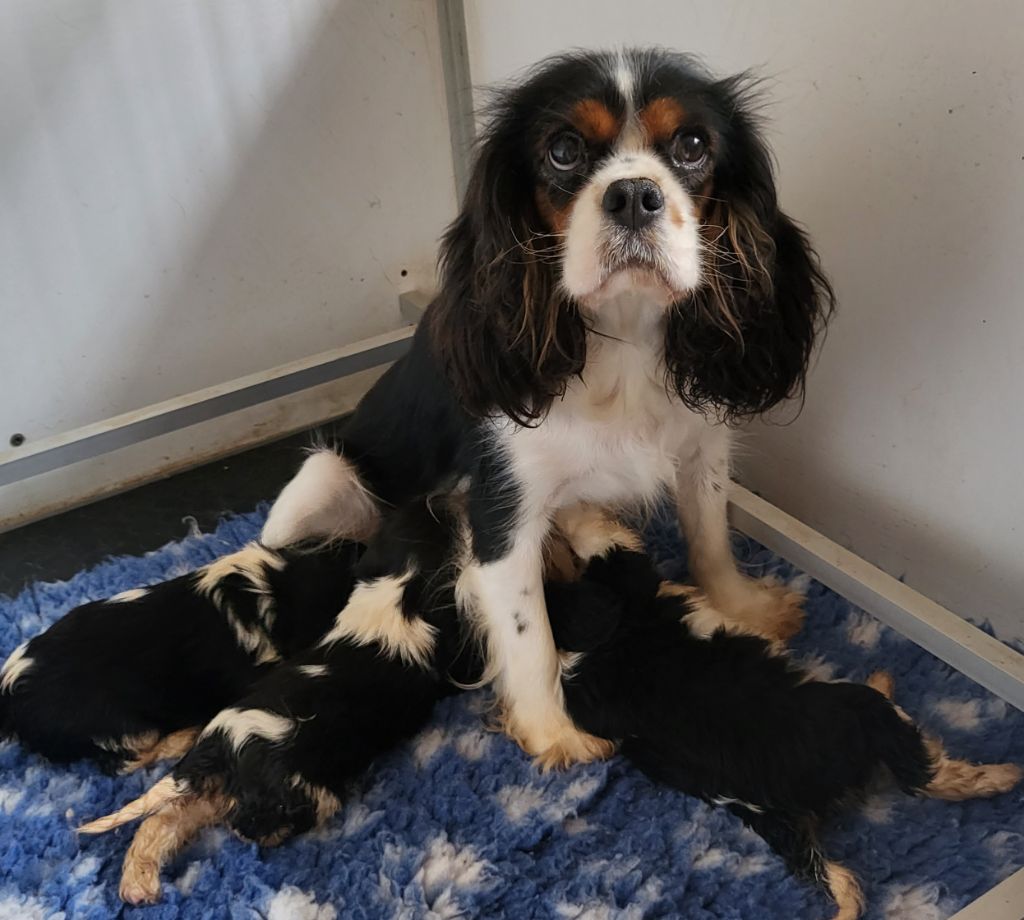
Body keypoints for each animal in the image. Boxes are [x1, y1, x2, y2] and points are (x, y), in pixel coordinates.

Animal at [253, 50, 831, 766]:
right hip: (315, 488)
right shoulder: (502, 506)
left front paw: (741, 605)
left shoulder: (703, 449)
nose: (634, 194)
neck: (623, 332)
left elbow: (710, 536)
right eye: (563, 150)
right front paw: (550, 727)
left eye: (693, 145)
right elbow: (530, 629)